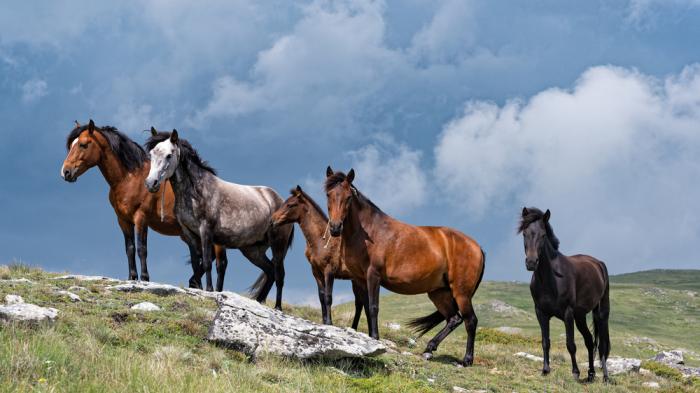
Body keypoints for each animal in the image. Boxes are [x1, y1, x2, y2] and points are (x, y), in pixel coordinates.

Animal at [60, 120, 227, 288]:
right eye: (71, 145)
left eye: (83, 144)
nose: (66, 172)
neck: (129, 179)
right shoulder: (123, 220)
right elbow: (130, 248)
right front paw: (132, 277)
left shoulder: (141, 218)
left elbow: (142, 249)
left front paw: (145, 278)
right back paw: (195, 283)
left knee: (221, 263)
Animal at [145, 129, 292, 306]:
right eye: (152, 153)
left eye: (169, 155)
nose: (151, 183)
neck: (196, 192)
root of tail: (279, 200)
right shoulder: (189, 234)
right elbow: (195, 265)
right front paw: (198, 289)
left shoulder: (206, 231)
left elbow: (207, 262)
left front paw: (209, 290)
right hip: (253, 250)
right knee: (270, 271)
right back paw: (259, 301)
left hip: (278, 244)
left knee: (279, 274)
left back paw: (278, 307)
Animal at [270, 185, 366, 326]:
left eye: (290, 204)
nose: (272, 220)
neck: (320, 240)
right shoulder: (316, 271)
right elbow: (321, 296)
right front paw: (324, 321)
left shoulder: (329, 271)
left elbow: (328, 297)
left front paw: (329, 322)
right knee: (361, 302)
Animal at [324, 165, 484, 364]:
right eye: (329, 195)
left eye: (348, 197)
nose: (335, 228)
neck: (369, 231)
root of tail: (477, 247)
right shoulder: (360, 279)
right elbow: (366, 308)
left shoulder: (373, 275)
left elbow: (373, 307)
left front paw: (375, 338)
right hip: (439, 292)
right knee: (454, 319)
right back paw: (429, 349)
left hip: (461, 293)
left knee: (470, 321)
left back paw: (466, 360)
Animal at [516, 207, 608, 382]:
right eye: (524, 234)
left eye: (543, 235)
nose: (531, 262)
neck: (550, 279)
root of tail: (598, 263)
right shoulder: (541, 313)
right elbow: (545, 341)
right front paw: (545, 370)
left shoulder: (567, 313)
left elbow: (570, 344)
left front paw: (575, 373)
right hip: (580, 317)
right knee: (589, 341)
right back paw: (591, 374)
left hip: (599, 313)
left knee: (603, 344)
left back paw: (605, 377)